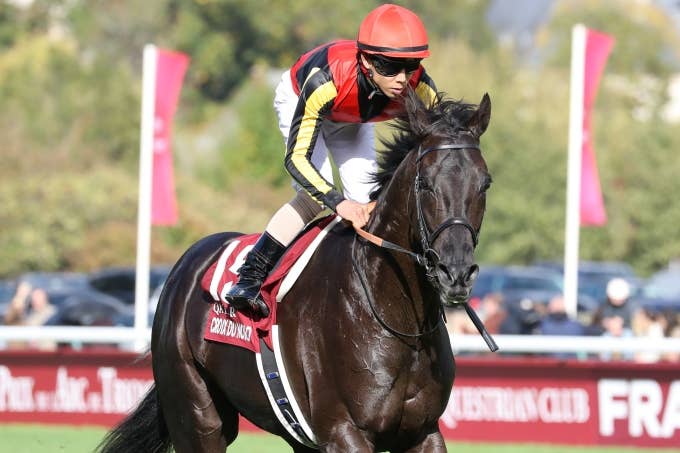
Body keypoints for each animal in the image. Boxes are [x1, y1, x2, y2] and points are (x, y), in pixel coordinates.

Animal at [98, 89, 492, 453]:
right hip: (196, 417)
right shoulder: (344, 431)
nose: (456, 272)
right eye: (425, 184)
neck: (396, 317)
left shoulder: (422, 432)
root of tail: (185, 266)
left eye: (484, 183)